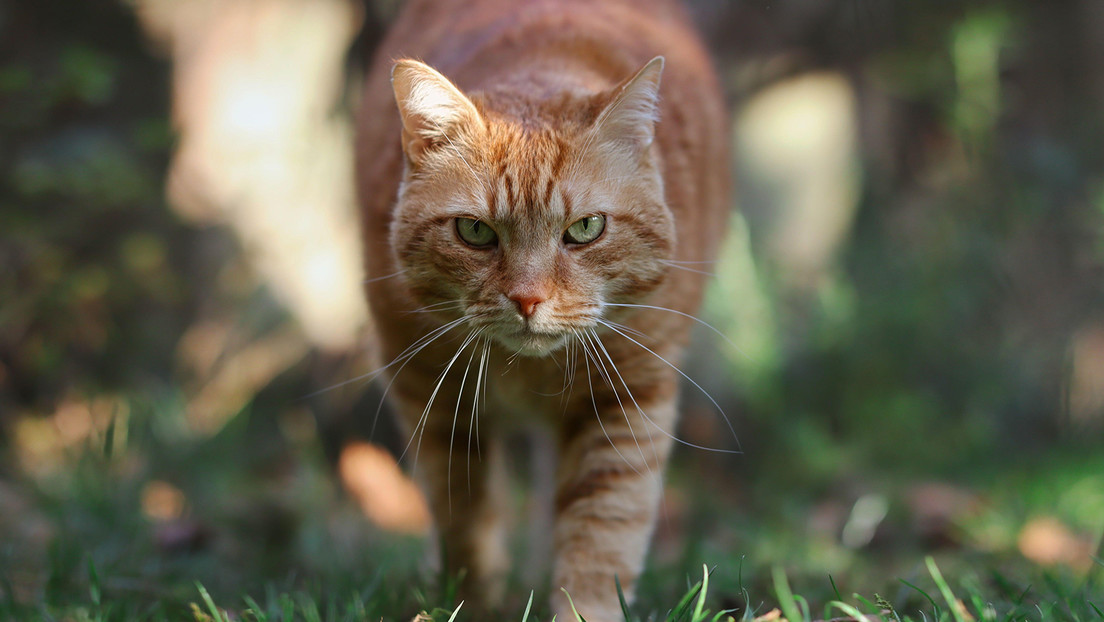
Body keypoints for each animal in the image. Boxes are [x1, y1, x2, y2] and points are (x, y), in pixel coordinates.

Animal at [355, 1, 733, 618]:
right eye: (474, 232)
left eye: (585, 228)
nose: (528, 298)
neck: (529, 371)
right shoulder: (430, 394)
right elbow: (465, 517)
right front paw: (471, 603)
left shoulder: (628, 398)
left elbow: (602, 532)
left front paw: (579, 606)